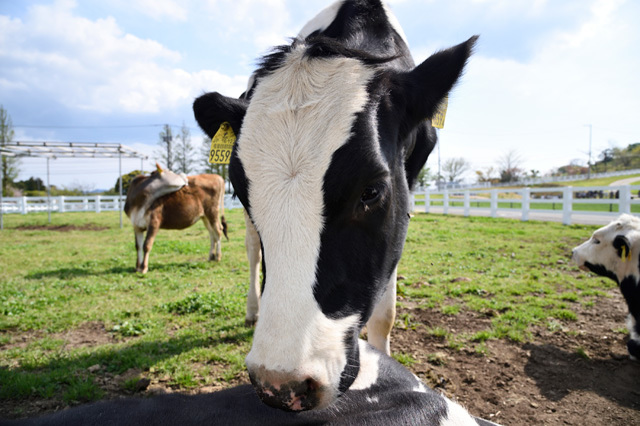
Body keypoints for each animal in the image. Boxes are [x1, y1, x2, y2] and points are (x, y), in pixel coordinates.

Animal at [192, 0, 478, 414]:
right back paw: (253, 308)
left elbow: (385, 313)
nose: (281, 384)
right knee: (251, 254)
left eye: (371, 192)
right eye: (244, 193)